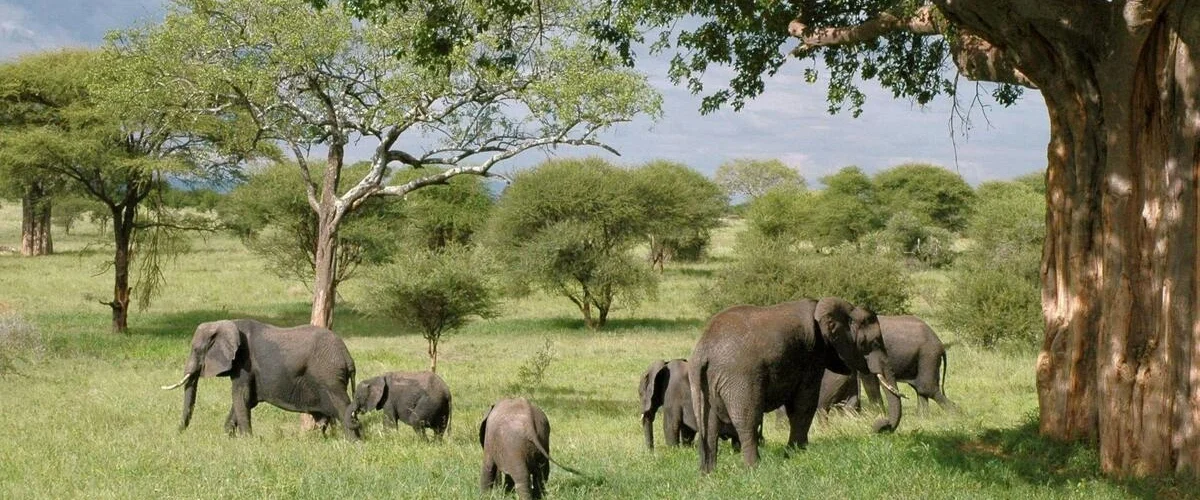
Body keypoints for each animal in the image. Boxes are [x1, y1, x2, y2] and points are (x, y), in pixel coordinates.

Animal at [162, 316, 362, 438]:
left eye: (196, 350)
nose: (178, 434)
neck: (226, 323)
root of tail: (347, 356)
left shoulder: (244, 363)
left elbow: (240, 396)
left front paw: (246, 440)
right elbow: (245, 399)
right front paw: (228, 437)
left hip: (329, 376)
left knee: (342, 406)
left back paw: (354, 442)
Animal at [686, 296, 902, 472]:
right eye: (874, 343)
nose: (880, 427)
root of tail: (704, 351)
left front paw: (795, 453)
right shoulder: (812, 354)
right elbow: (804, 403)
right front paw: (797, 454)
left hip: (704, 383)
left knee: (710, 425)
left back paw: (709, 474)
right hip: (740, 378)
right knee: (747, 420)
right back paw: (754, 469)